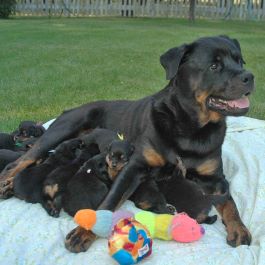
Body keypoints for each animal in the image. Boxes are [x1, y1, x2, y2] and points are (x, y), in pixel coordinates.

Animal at [0, 35, 253, 252]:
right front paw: (84, 232)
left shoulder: (216, 179)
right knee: (23, 160)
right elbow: (109, 201)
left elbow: (230, 203)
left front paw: (239, 228)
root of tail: (70, 108)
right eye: (214, 66)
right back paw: (6, 182)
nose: (249, 76)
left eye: (239, 60)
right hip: (62, 129)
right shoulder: (134, 167)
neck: (190, 127)